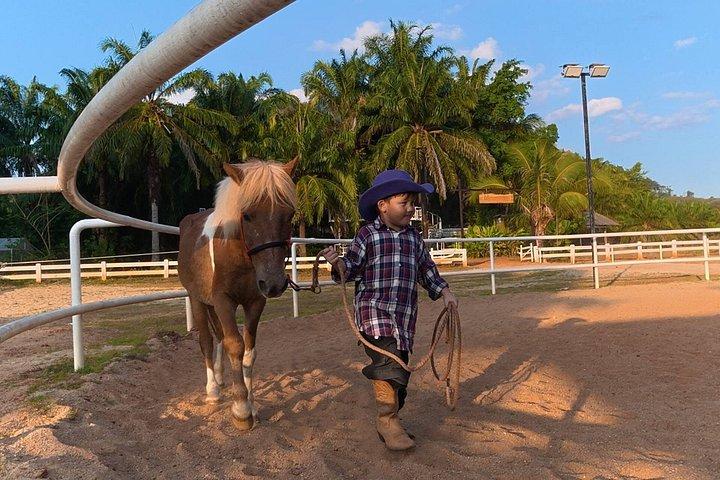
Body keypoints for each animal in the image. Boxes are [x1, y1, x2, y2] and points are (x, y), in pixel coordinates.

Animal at [177, 158, 298, 431]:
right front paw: (241, 410)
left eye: (290, 215)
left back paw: (221, 380)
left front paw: (252, 406)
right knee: (207, 341)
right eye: (247, 215)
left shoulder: (255, 302)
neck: (239, 257)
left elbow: (249, 352)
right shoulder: (223, 301)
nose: (275, 283)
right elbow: (235, 345)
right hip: (197, 300)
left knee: (219, 337)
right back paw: (213, 390)